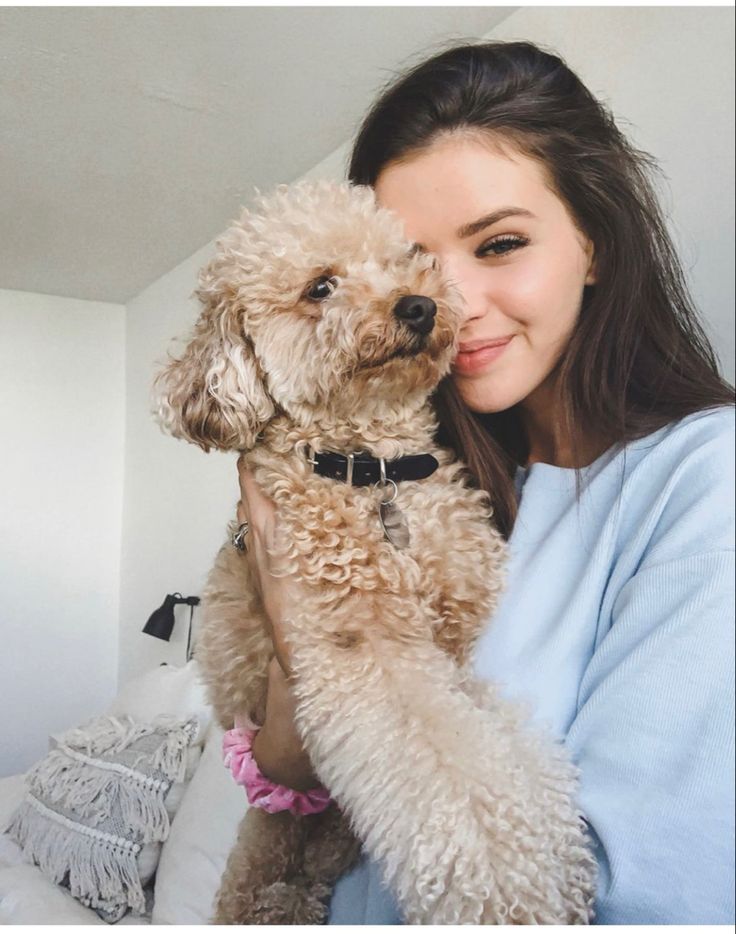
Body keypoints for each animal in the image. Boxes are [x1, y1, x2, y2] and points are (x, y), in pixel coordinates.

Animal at [155, 179, 600, 924]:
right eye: (321, 287)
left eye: (404, 260)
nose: (418, 305)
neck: (377, 469)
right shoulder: (366, 651)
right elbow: (451, 779)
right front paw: (510, 891)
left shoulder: (452, 646)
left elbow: (493, 748)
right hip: (265, 840)